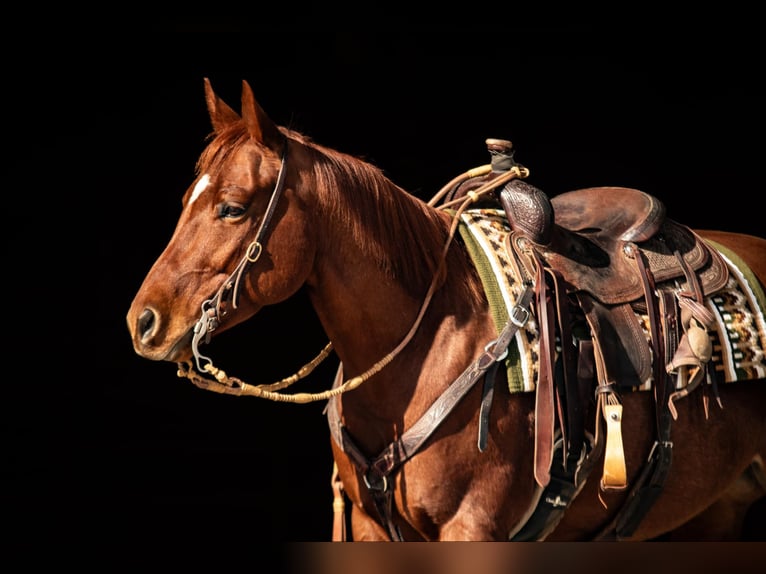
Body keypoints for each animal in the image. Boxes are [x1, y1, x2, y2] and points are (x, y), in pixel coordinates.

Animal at [127, 79, 766, 544]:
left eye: (233, 207)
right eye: (187, 199)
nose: (144, 321)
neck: (428, 343)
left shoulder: (471, 530)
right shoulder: (372, 529)